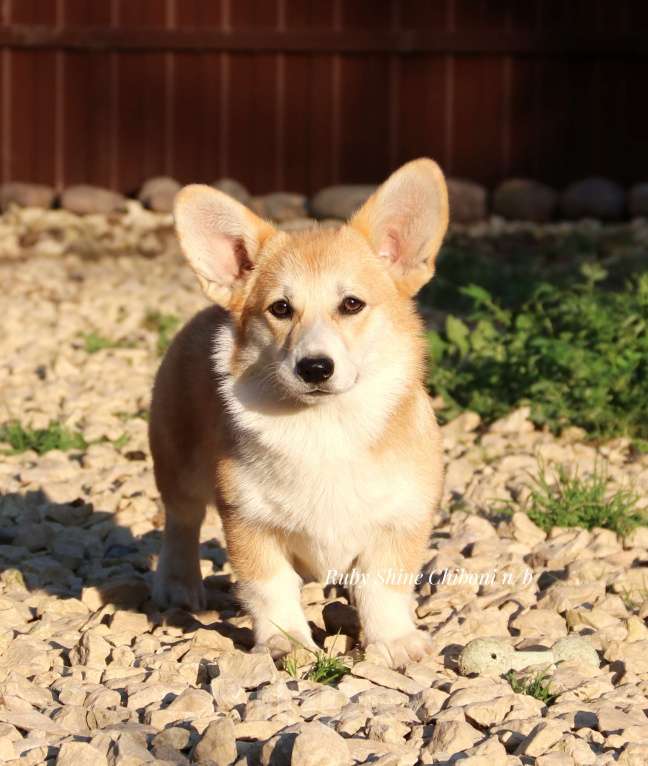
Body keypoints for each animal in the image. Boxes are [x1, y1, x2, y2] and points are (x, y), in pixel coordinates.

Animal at [149, 159, 448, 668]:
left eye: (352, 304)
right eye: (281, 309)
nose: (314, 367)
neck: (324, 426)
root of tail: (204, 314)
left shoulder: (400, 520)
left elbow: (384, 589)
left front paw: (394, 641)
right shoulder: (249, 522)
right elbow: (270, 589)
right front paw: (285, 642)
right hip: (178, 466)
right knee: (181, 522)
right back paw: (178, 584)